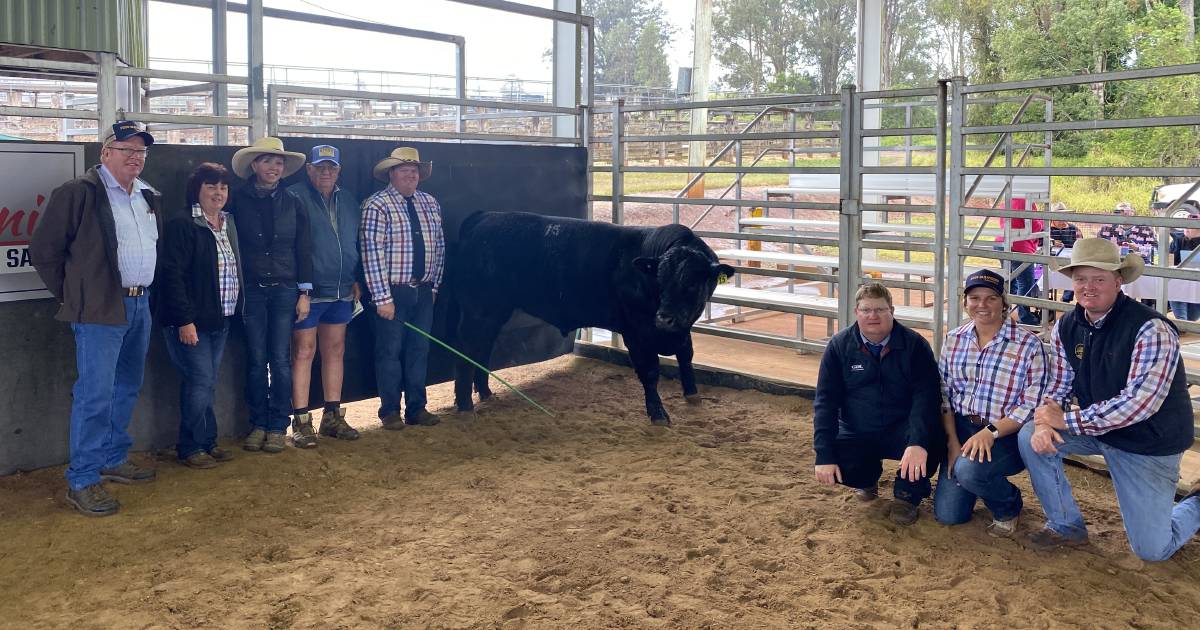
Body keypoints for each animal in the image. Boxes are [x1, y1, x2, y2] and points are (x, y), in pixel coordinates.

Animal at [448, 210, 729, 422]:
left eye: (692, 283)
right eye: (660, 278)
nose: (664, 318)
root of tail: (484, 216)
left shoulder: (681, 330)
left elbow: (686, 356)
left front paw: (692, 395)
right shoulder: (636, 331)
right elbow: (650, 371)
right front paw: (658, 414)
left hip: (494, 310)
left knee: (483, 347)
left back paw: (485, 392)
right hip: (477, 309)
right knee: (465, 349)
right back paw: (465, 405)